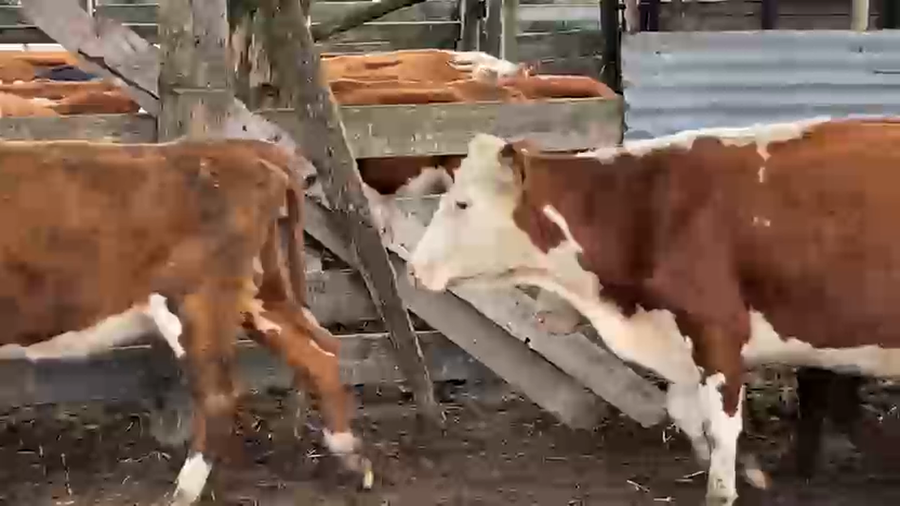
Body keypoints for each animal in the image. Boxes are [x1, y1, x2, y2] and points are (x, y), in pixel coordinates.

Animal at [0, 139, 371, 505]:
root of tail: (246, 149)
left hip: (195, 300)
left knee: (218, 394)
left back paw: (182, 491)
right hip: (257, 293)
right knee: (321, 351)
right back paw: (350, 453)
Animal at [408, 117, 900, 505]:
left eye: (463, 203)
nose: (413, 267)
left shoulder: (717, 330)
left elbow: (722, 425)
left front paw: (724, 487)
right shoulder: (678, 337)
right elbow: (683, 412)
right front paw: (748, 468)